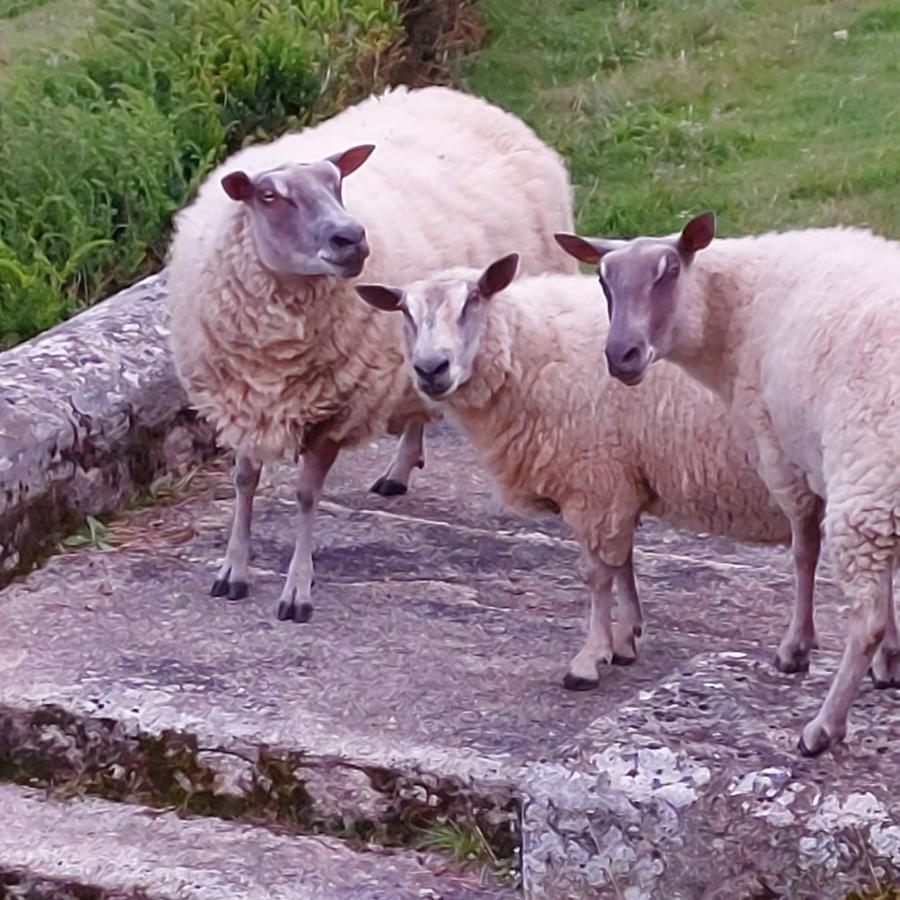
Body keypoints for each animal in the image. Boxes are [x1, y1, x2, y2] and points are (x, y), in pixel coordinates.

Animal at [166, 88, 576, 624]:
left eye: (337, 182)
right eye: (270, 196)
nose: (352, 238)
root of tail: (463, 97)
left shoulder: (333, 411)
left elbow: (305, 496)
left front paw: (297, 589)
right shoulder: (245, 398)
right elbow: (244, 480)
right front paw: (232, 570)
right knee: (420, 397)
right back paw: (399, 470)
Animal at [348, 253, 804, 688]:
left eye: (473, 299)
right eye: (405, 312)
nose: (430, 369)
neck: (529, 347)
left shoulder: (594, 478)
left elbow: (597, 574)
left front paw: (590, 658)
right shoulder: (619, 479)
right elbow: (622, 563)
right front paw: (625, 638)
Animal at [556, 214, 900, 756]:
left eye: (670, 271)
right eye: (602, 279)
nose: (620, 355)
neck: (736, 313)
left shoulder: (782, 453)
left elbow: (804, 553)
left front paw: (796, 649)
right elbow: (887, 581)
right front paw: (890, 663)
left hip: (865, 476)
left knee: (865, 621)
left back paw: (823, 728)